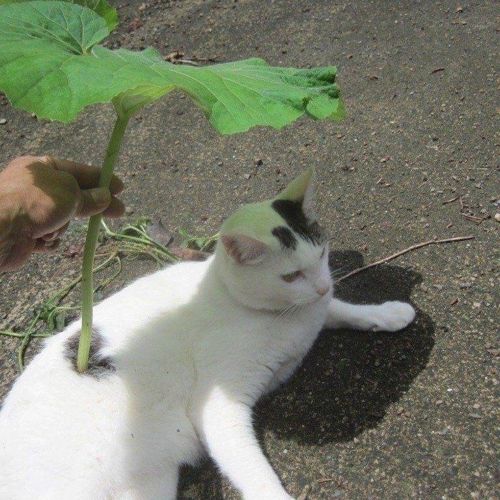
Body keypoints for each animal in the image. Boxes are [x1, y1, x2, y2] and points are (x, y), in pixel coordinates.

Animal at [0, 169, 415, 500]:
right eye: (290, 276)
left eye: (323, 255)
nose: (322, 287)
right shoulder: (217, 407)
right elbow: (255, 475)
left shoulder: (317, 308)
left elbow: (343, 310)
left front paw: (389, 313)